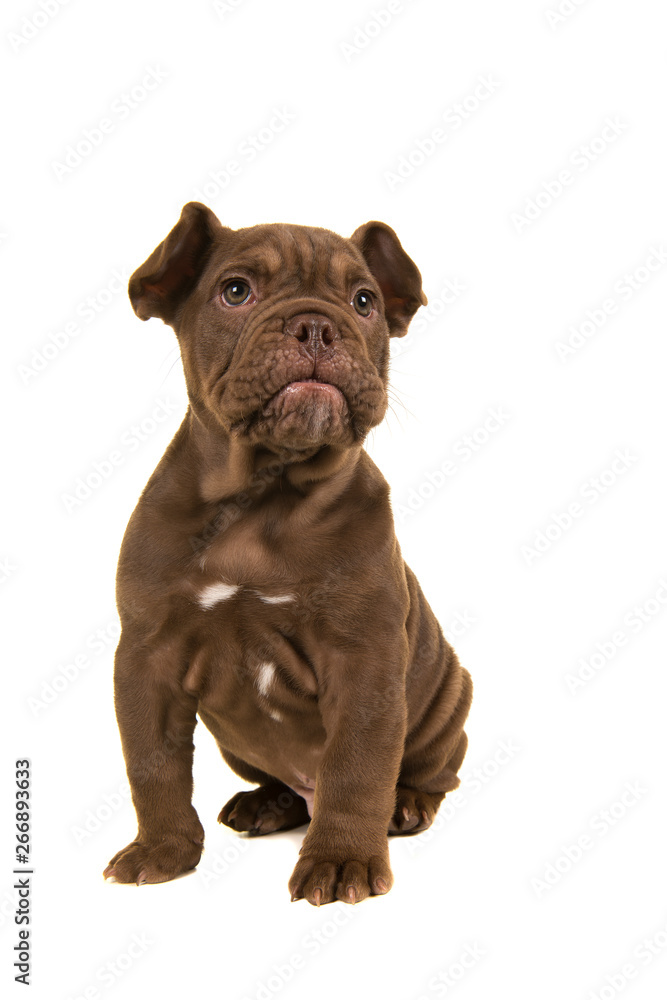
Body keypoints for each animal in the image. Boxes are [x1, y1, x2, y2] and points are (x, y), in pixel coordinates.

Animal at [104, 203, 472, 908]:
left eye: (365, 302)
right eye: (236, 291)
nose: (317, 326)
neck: (264, 490)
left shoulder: (365, 661)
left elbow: (357, 767)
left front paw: (342, 860)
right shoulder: (147, 657)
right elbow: (153, 764)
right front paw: (161, 850)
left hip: (447, 700)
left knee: (426, 774)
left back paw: (406, 805)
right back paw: (266, 803)